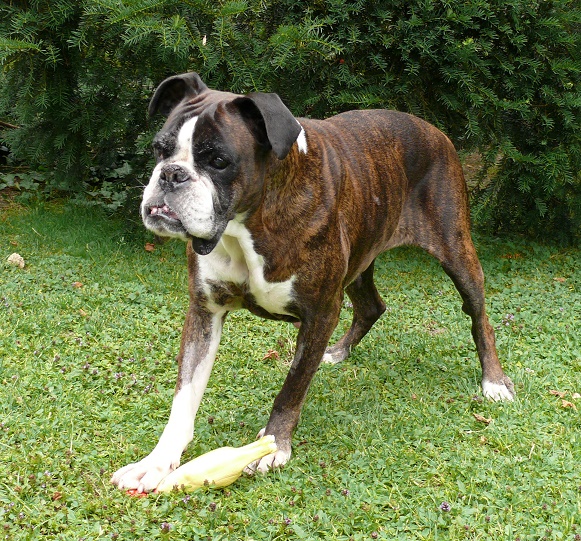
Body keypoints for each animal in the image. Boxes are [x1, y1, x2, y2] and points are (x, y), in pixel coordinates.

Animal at [111, 72, 514, 493]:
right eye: (159, 150)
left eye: (219, 161)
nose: (171, 175)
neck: (249, 224)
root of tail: (435, 130)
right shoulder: (204, 312)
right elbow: (184, 397)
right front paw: (157, 462)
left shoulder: (320, 313)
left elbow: (293, 386)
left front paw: (273, 446)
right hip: (360, 259)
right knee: (372, 306)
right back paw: (337, 352)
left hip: (457, 252)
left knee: (479, 318)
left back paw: (494, 381)